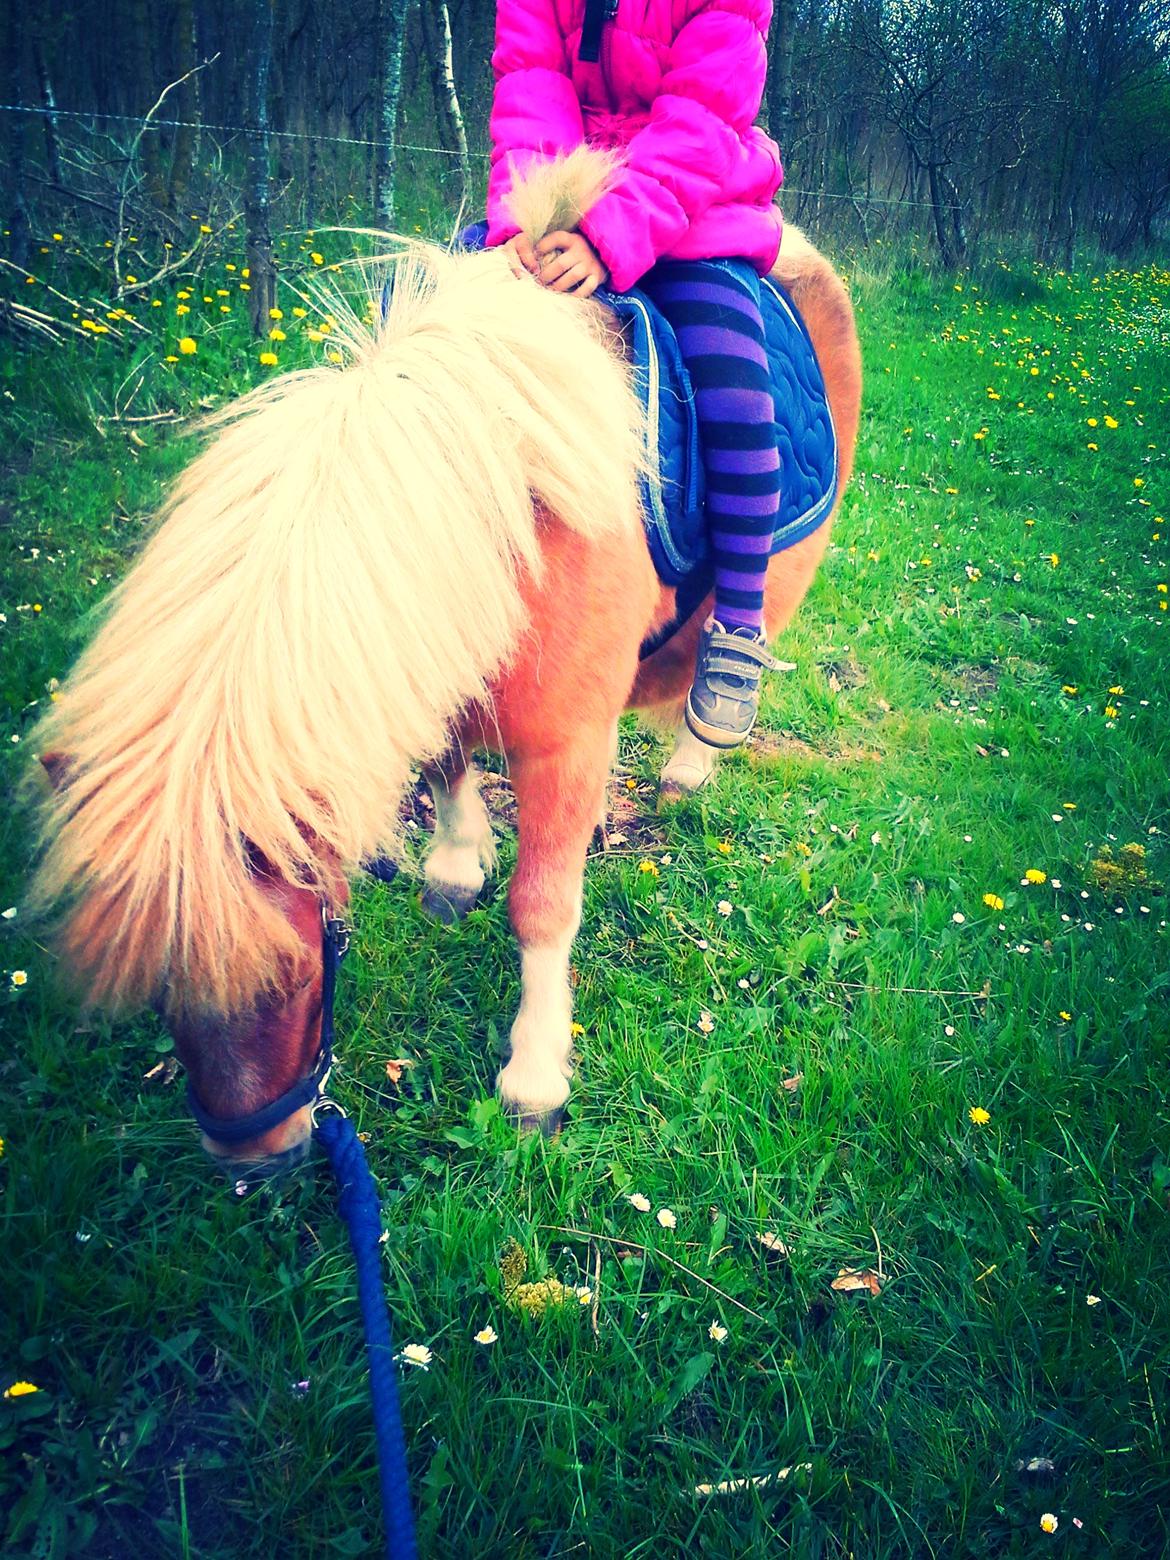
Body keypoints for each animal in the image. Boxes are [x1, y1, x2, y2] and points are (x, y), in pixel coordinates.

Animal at [28, 153, 861, 1166]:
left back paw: (694, 761)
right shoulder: (441, 661)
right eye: (162, 996)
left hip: (772, 575)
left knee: (728, 647)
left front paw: (534, 1078)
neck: (507, 508)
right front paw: (457, 867)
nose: (257, 1160)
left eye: (291, 972)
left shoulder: (566, 742)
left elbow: (543, 904)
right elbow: (447, 760)